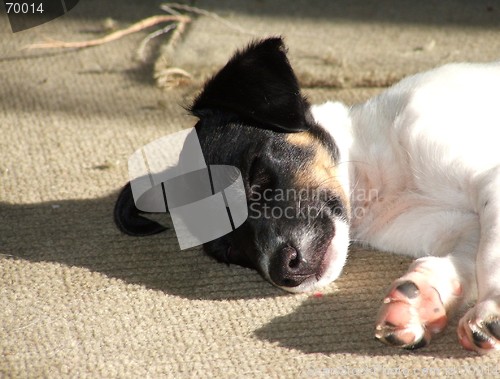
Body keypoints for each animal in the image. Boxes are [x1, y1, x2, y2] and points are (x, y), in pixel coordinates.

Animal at [114, 37, 500, 354]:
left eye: (254, 174)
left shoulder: (490, 180)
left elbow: (489, 257)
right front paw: (420, 303)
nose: (284, 271)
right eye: (228, 250)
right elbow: (461, 261)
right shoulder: (456, 227)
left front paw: (490, 310)